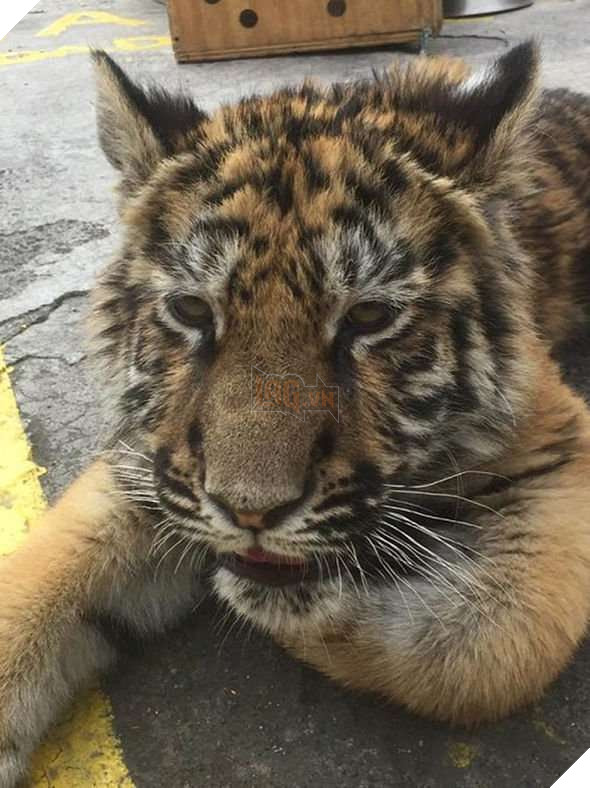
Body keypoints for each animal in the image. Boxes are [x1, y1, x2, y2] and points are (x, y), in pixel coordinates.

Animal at [2, 39, 590, 786]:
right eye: (191, 310)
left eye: (368, 317)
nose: (250, 512)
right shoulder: (149, 467)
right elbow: (36, 585)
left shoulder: (559, 441)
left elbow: (485, 651)